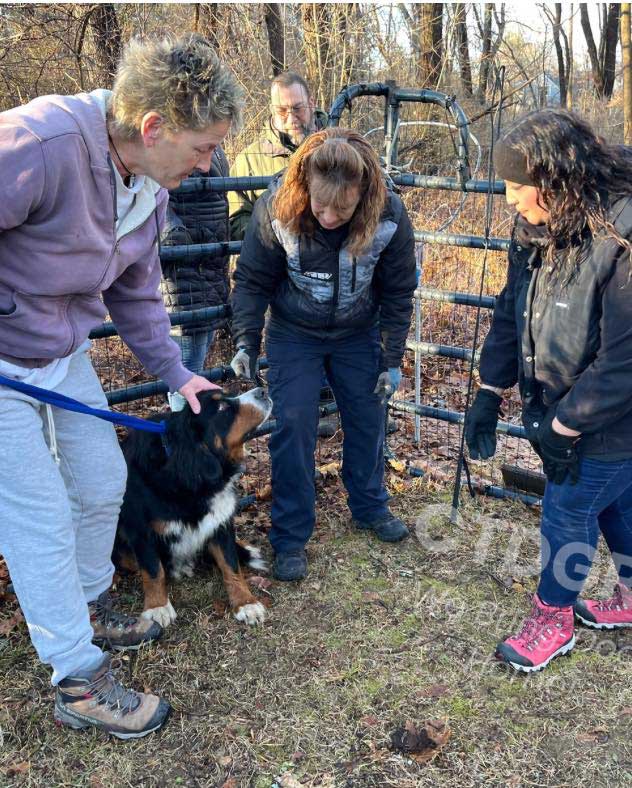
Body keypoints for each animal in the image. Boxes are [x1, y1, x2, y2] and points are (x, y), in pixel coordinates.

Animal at [113, 388, 272, 628]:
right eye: (221, 407)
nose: (262, 390)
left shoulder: (220, 519)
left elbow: (230, 565)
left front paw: (245, 602)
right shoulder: (139, 528)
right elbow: (152, 569)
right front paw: (157, 606)